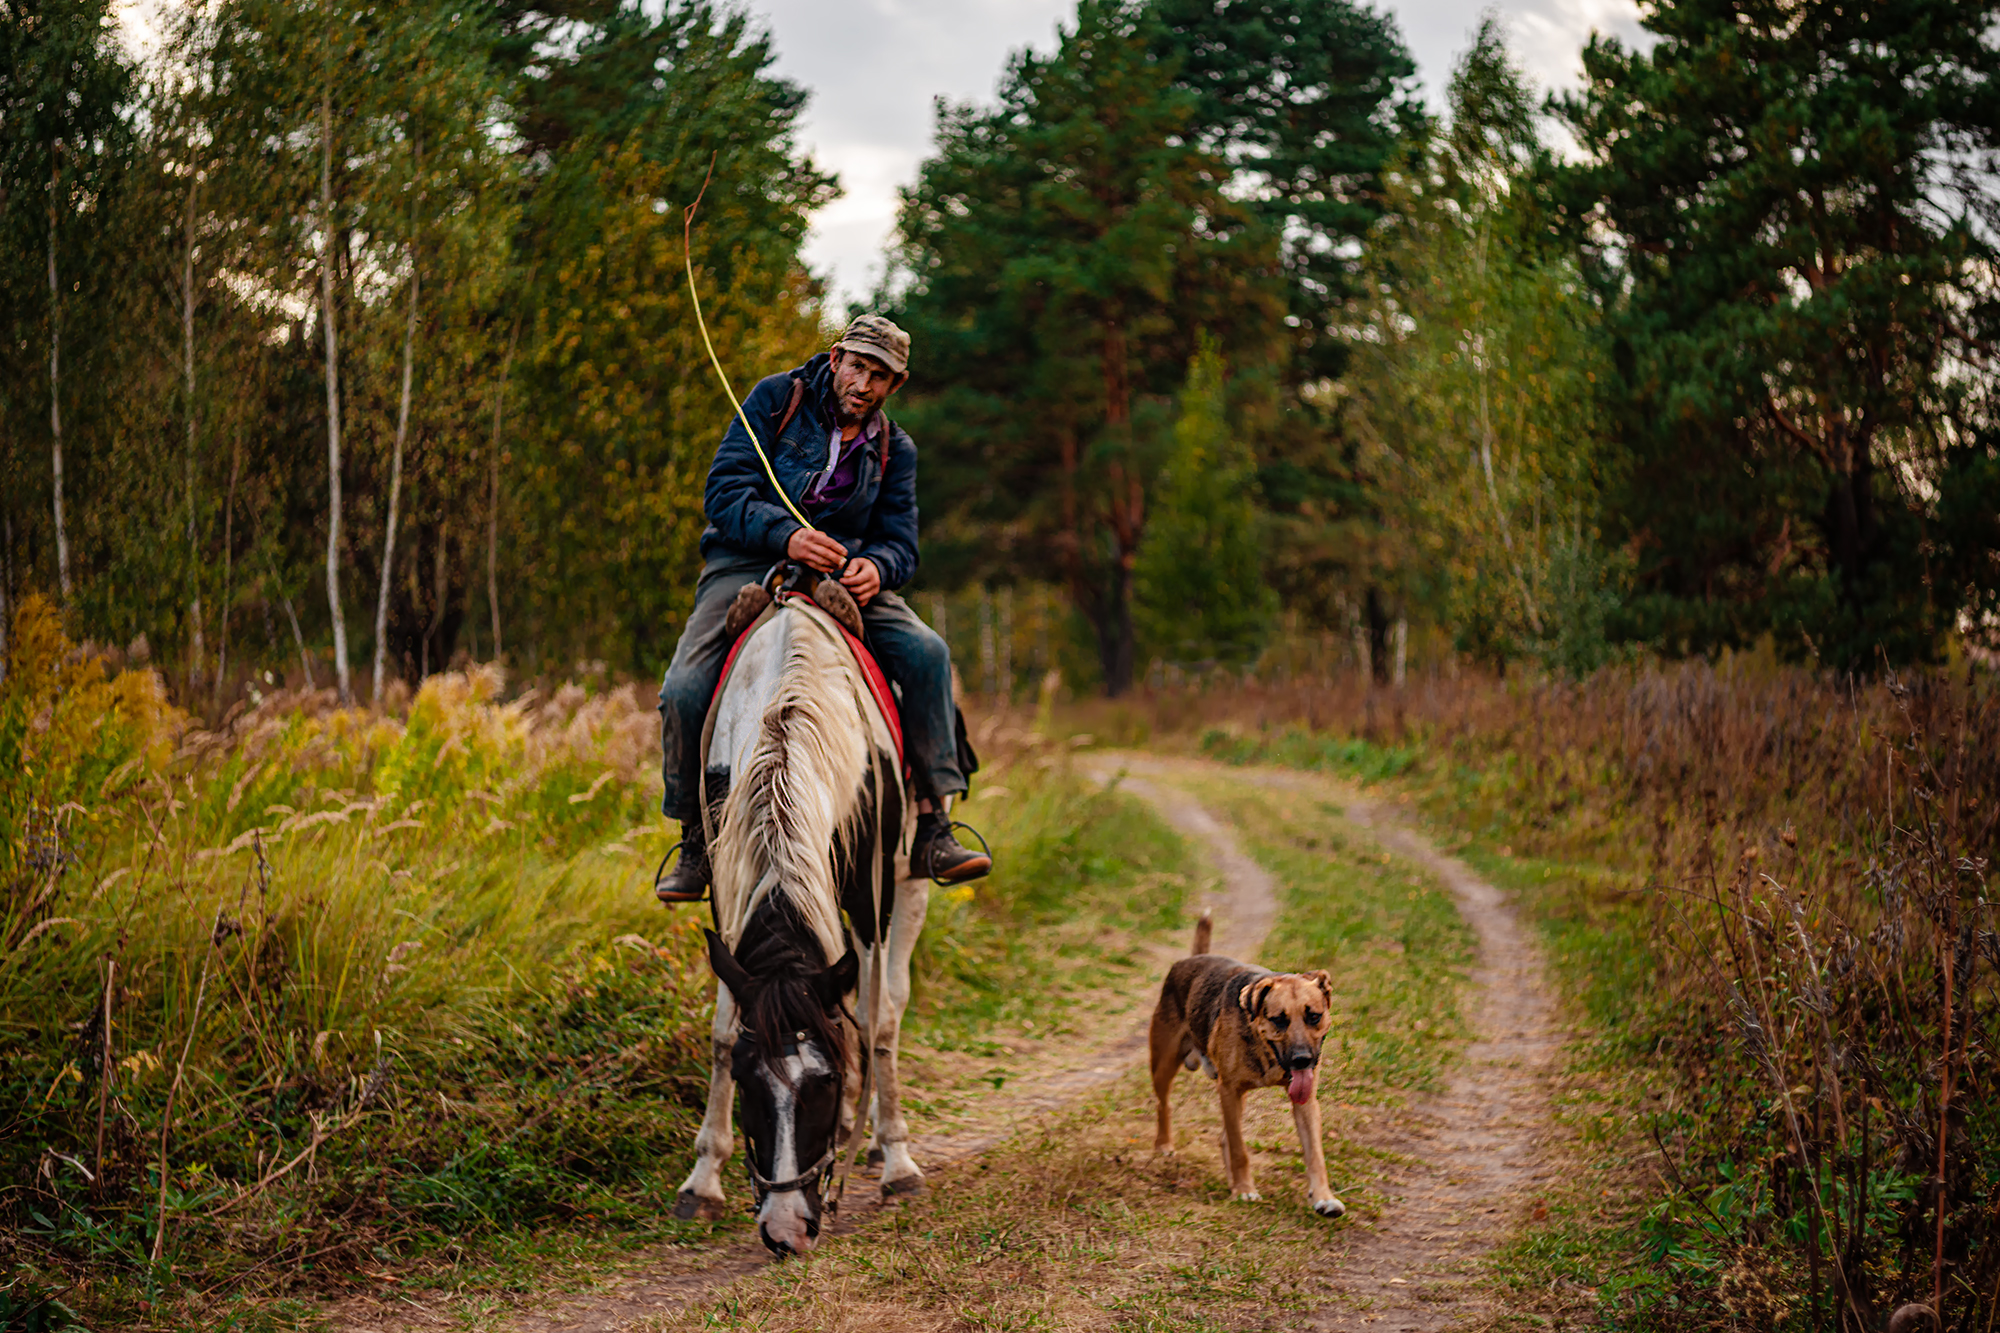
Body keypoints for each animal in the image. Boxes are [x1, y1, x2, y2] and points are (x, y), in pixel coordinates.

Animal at [668, 588, 924, 1248]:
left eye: (824, 1083)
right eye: (747, 1080)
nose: (785, 1230)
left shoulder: (871, 897)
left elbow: (872, 1021)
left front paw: (899, 1161)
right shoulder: (727, 889)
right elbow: (724, 1027)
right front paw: (702, 1181)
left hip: (911, 882)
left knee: (890, 1005)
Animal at [1152, 908, 1336, 1208]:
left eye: (1314, 1016)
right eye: (1278, 1019)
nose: (1302, 1060)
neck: (1265, 1051)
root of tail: (1191, 959)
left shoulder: (1305, 1100)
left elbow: (1315, 1154)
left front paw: (1324, 1198)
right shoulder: (1228, 1090)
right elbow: (1240, 1148)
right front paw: (1243, 1189)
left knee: (1224, 1134)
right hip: (1164, 1064)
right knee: (1163, 1104)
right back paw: (1164, 1144)